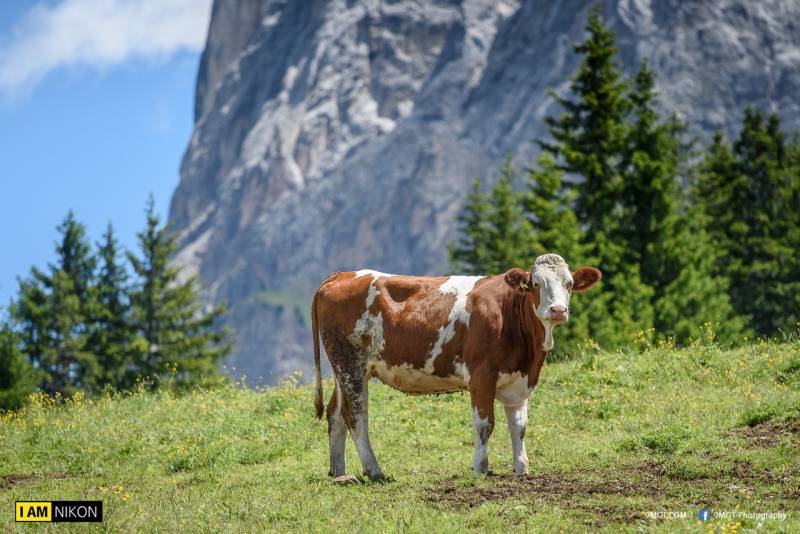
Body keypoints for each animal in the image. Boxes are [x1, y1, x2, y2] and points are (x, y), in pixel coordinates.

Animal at [312, 255, 600, 482]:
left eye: (569, 284)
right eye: (537, 284)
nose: (558, 310)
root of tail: (341, 275)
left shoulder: (519, 381)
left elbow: (519, 426)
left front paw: (521, 468)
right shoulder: (481, 375)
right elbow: (485, 424)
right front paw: (480, 468)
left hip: (342, 367)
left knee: (335, 413)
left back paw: (339, 473)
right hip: (352, 364)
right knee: (356, 416)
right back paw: (374, 471)